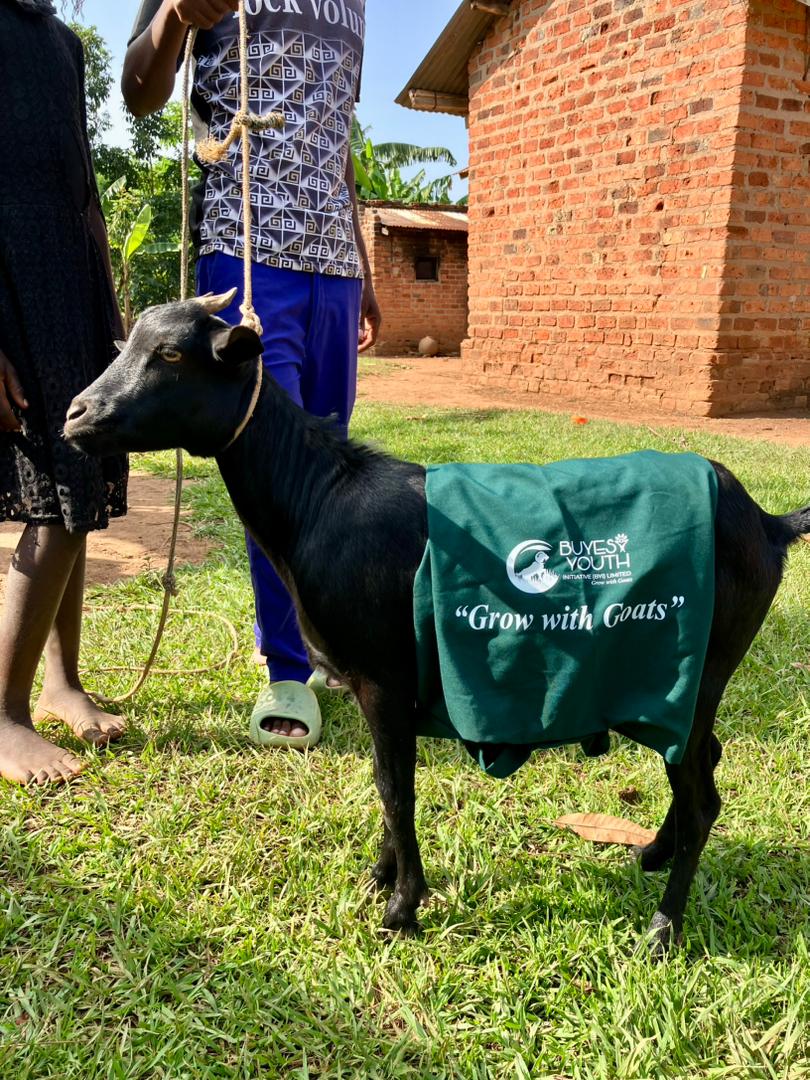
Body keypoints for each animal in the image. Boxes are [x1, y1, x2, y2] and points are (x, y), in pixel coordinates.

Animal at [64, 292, 809, 955]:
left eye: (170, 353)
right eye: (126, 345)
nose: (76, 414)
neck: (317, 499)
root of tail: (768, 523)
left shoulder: (382, 678)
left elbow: (396, 788)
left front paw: (401, 907)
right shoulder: (386, 689)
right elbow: (387, 782)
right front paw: (382, 876)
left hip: (695, 671)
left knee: (703, 796)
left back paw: (662, 928)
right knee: (703, 762)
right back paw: (654, 851)